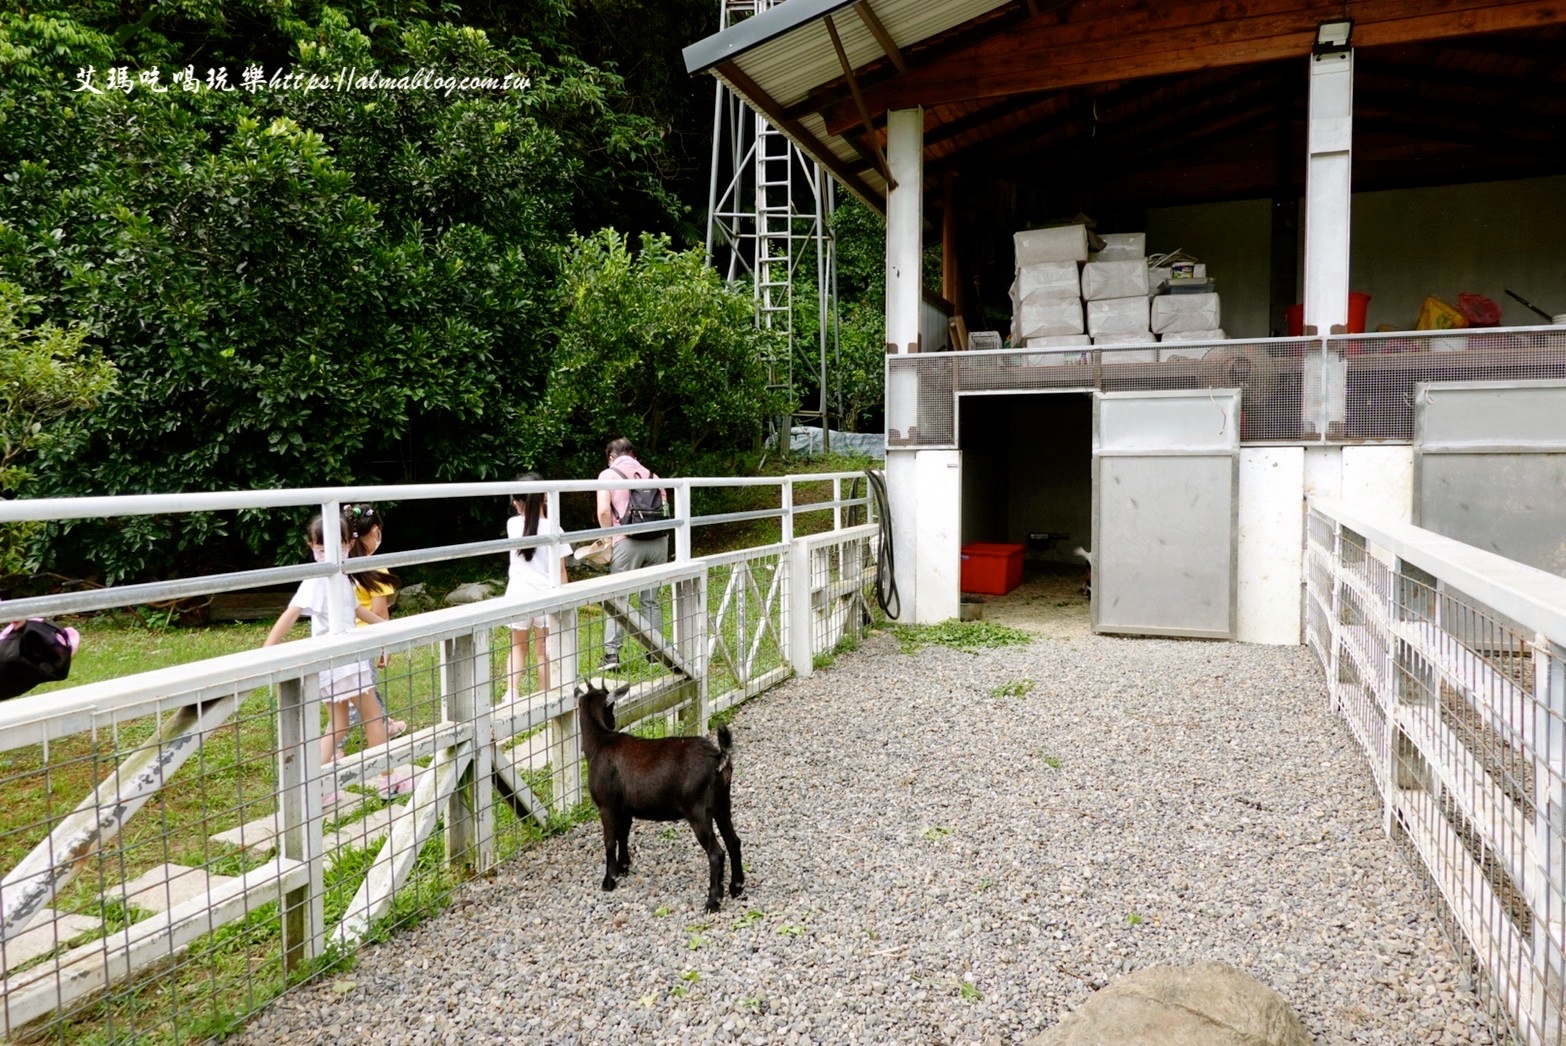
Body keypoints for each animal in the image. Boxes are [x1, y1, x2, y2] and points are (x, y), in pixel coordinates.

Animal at [576, 682, 745, 908]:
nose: (613, 723)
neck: (600, 743)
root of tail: (719, 757)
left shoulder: (606, 805)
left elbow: (610, 840)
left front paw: (608, 881)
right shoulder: (625, 808)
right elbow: (623, 834)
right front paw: (623, 868)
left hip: (698, 810)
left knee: (716, 853)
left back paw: (712, 902)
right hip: (722, 802)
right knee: (733, 841)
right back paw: (736, 887)